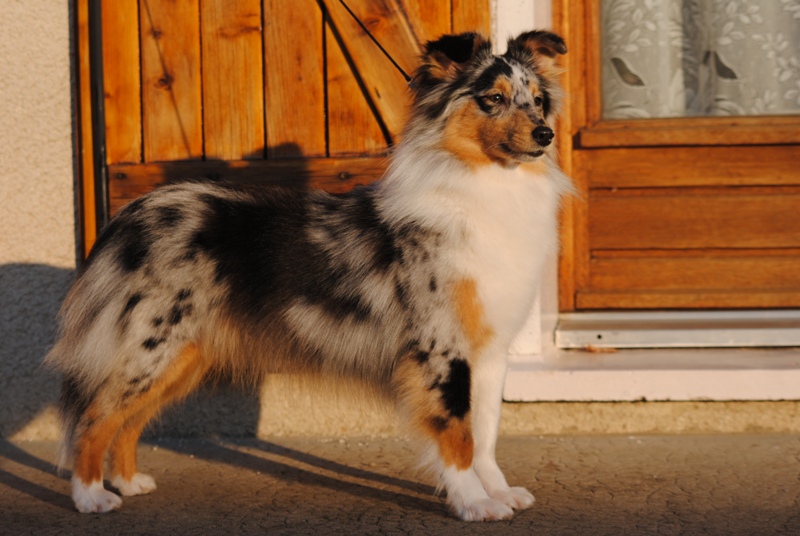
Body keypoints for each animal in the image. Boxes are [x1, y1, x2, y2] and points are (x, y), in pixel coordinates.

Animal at [45, 28, 568, 520]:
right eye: (492, 98)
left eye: (538, 100)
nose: (546, 135)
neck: (487, 185)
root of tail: (128, 215)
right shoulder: (441, 347)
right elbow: (457, 434)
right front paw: (473, 503)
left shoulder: (489, 353)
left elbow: (485, 434)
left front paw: (498, 491)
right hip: (152, 346)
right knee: (93, 418)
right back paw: (90, 495)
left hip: (182, 357)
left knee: (127, 419)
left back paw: (128, 481)